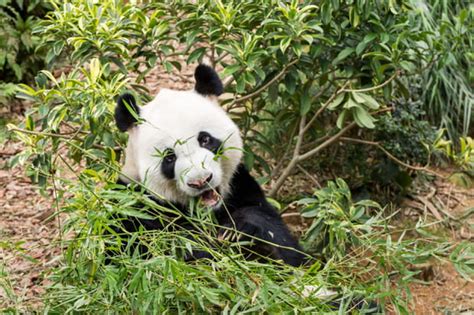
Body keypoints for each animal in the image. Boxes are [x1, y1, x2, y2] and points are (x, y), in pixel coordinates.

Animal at [114, 64, 308, 266]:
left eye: (205, 139)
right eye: (169, 158)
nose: (200, 181)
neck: (207, 213)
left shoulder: (241, 187)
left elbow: (287, 248)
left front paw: (238, 232)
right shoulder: (135, 208)